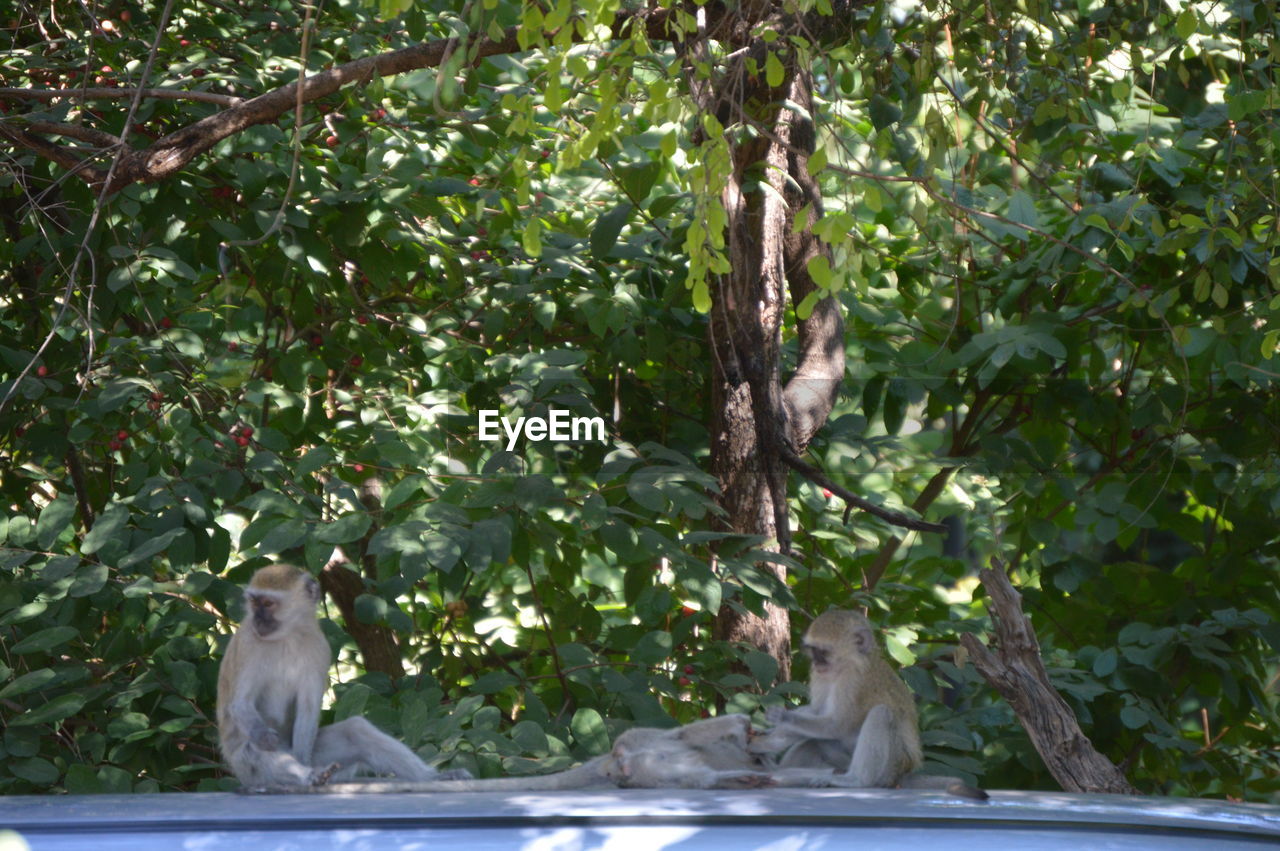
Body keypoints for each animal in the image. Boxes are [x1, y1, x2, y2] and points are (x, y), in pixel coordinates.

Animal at [747, 611, 988, 798]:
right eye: (813, 651)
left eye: (823, 652)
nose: (816, 663)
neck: (846, 666)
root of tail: (904, 773)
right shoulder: (821, 677)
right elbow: (816, 713)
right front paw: (765, 740)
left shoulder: (854, 682)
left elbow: (836, 725)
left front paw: (783, 717)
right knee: (815, 742)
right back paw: (776, 771)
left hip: (891, 765)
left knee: (881, 714)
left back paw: (855, 781)